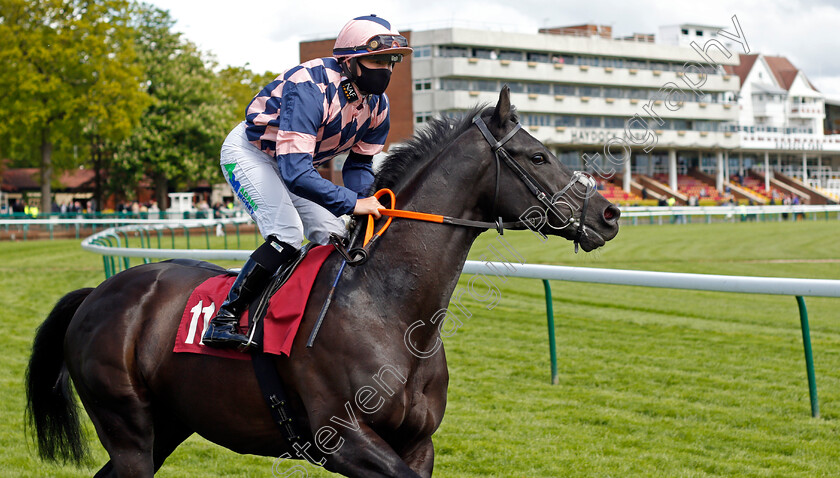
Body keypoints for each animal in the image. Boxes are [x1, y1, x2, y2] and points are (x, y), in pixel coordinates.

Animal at [26, 87, 620, 478]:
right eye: (539, 155)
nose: (609, 213)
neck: (389, 308)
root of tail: (98, 294)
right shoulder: (343, 439)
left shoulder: (417, 442)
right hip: (128, 427)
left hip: (167, 426)